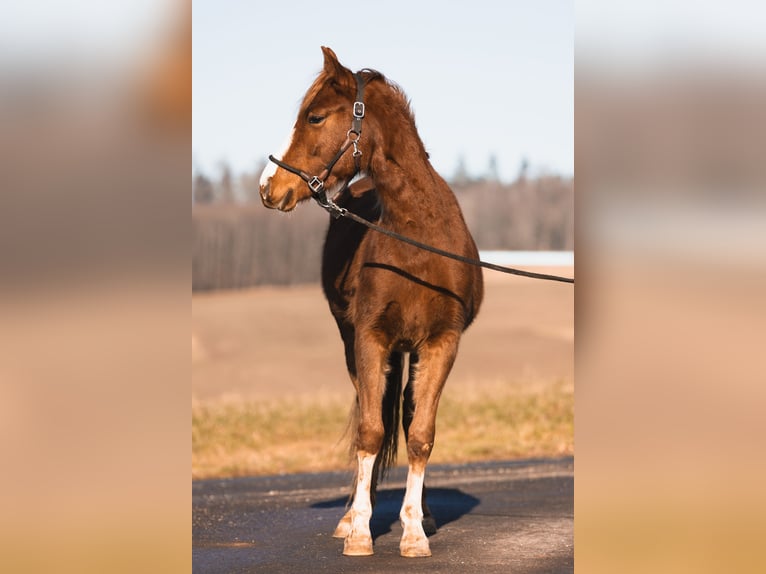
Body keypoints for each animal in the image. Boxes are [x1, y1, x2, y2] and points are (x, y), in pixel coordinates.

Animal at [260, 47, 484, 560]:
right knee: (373, 412)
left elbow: (420, 434)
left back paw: (423, 514)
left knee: (403, 413)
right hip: (356, 345)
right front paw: (359, 530)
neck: (419, 237)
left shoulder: (441, 343)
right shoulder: (369, 338)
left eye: (315, 116)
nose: (268, 186)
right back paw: (351, 516)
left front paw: (415, 531)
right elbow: (370, 430)